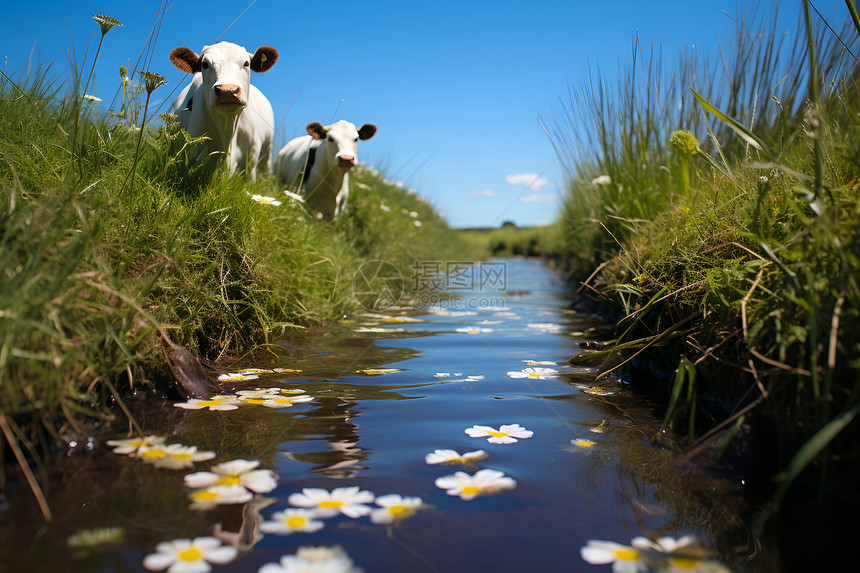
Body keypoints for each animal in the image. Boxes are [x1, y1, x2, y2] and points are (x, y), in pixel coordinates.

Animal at [166, 42, 278, 181]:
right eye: (204, 64)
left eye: (246, 63)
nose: (227, 90)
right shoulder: (192, 146)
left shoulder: (250, 160)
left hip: (266, 154)